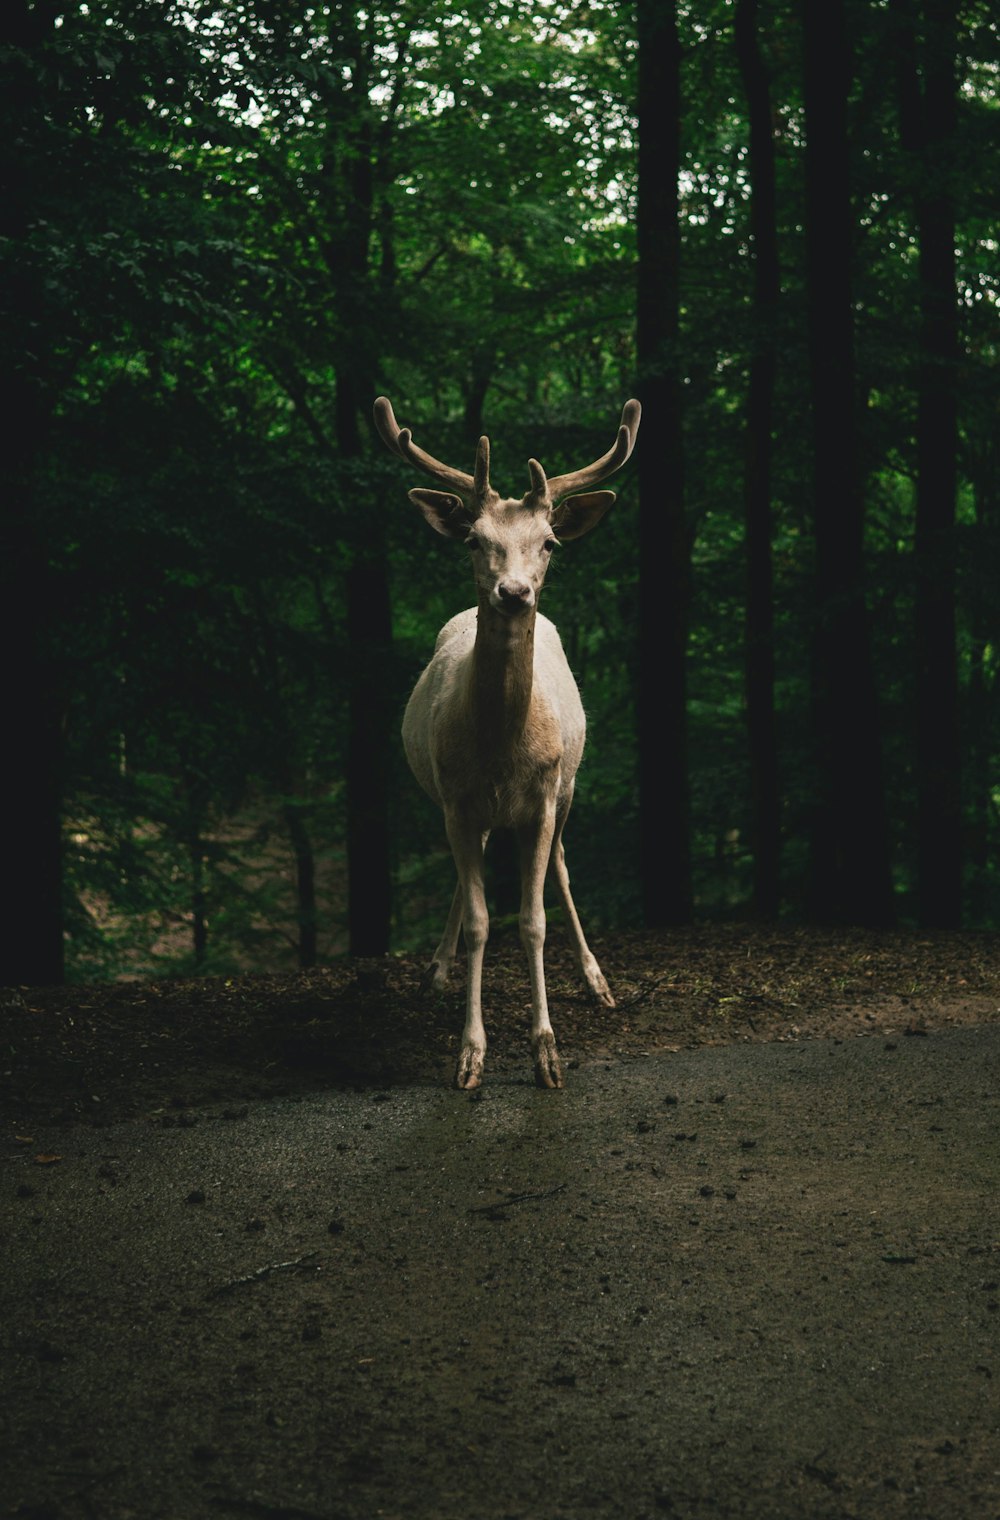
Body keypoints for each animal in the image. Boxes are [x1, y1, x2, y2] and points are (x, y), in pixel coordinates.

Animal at [373, 392, 638, 1082]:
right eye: (474, 538)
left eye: (548, 542)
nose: (513, 593)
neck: (501, 753)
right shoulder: (458, 801)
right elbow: (479, 921)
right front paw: (470, 1052)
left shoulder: (541, 799)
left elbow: (533, 920)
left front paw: (547, 1051)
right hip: (453, 803)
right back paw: (436, 972)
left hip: (569, 787)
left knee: (564, 868)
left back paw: (598, 981)